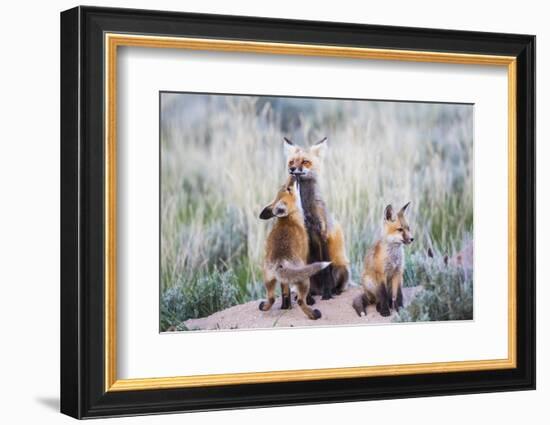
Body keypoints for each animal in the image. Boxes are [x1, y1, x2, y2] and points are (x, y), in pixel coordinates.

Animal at [260, 175, 332, 318]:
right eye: (288, 188)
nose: (293, 174)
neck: (289, 219)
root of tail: (280, 260)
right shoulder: (305, 255)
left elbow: (285, 292)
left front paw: (285, 307)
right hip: (303, 279)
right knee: (300, 300)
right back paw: (313, 313)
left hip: (269, 280)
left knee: (271, 298)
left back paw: (266, 307)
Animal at [286, 137, 352, 300]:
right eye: (291, 162)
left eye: (305, 162)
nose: (292, 169)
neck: (307, 211)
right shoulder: (305, 237)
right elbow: (307, 274)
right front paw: (308, 299)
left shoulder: (323, 234)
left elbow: (326, 270)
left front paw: (327, 295)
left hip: (342, 268)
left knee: (340, 285)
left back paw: (334, 291)